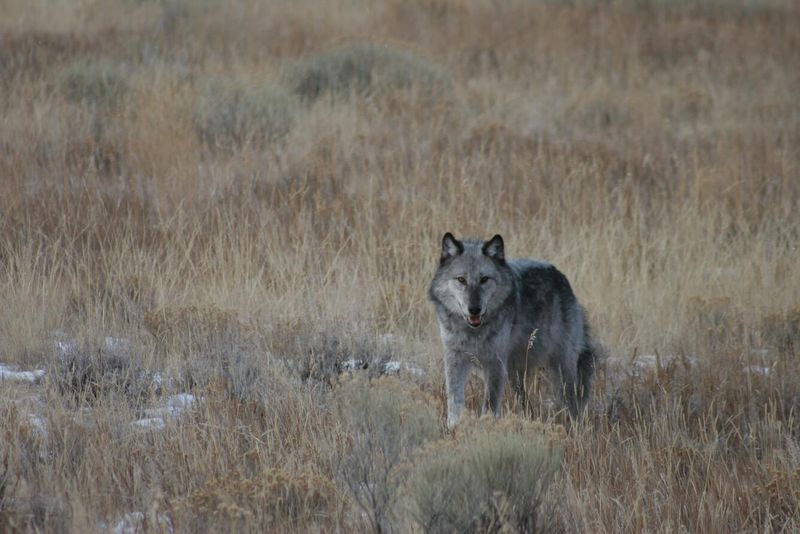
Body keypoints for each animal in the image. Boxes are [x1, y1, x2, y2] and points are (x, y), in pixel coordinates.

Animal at [428, 232, 596, 427]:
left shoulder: (495, 363)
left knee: (573, 404)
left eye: (484, 279)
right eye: (461, 280)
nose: (474, 309)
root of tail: (561, 277)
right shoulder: (455, 359)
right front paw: (454, 427)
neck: (473, 332)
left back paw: (576, 428)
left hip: (561, 369)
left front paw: (486, 426)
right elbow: (454, 399)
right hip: (514, 373)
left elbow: (490, 404)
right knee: (524, 401)